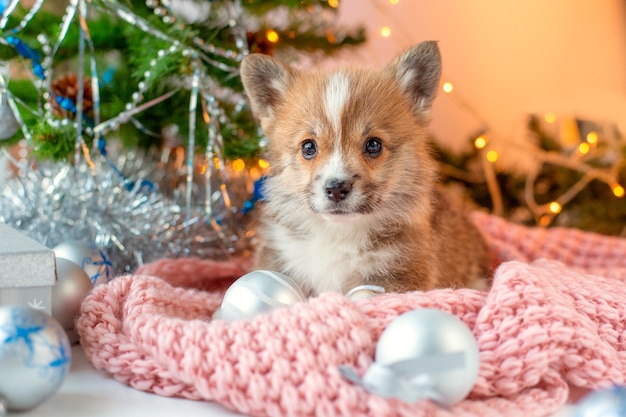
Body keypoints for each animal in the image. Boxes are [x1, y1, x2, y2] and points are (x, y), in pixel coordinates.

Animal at [239, 41, 488, 296]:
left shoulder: (399, 275)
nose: (336, 189)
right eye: (308, 147)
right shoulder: (279, 254)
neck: (338, 233)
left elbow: (362, 297)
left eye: (373, 145)